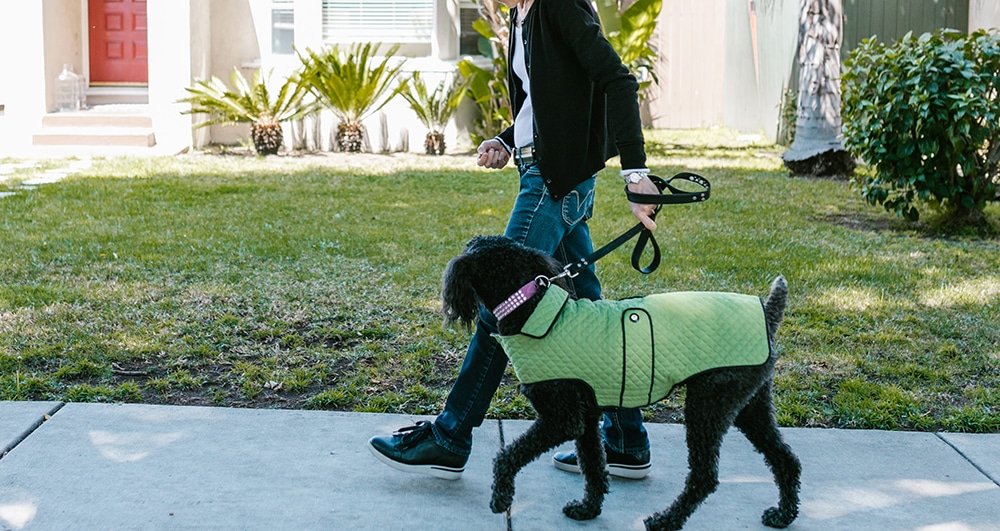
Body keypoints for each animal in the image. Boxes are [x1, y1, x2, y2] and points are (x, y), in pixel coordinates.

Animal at [442, 237, 800, 531]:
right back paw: (783, 515)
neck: (530, 307)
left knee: (704, 478)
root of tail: (767, 313)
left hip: (708, 405)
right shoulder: (586, 418)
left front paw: (501, 498)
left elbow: (508, 455)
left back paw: (665, 520)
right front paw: (588, 509)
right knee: (785, 459)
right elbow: (593, 466)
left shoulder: (562, 418)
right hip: (750, 406)